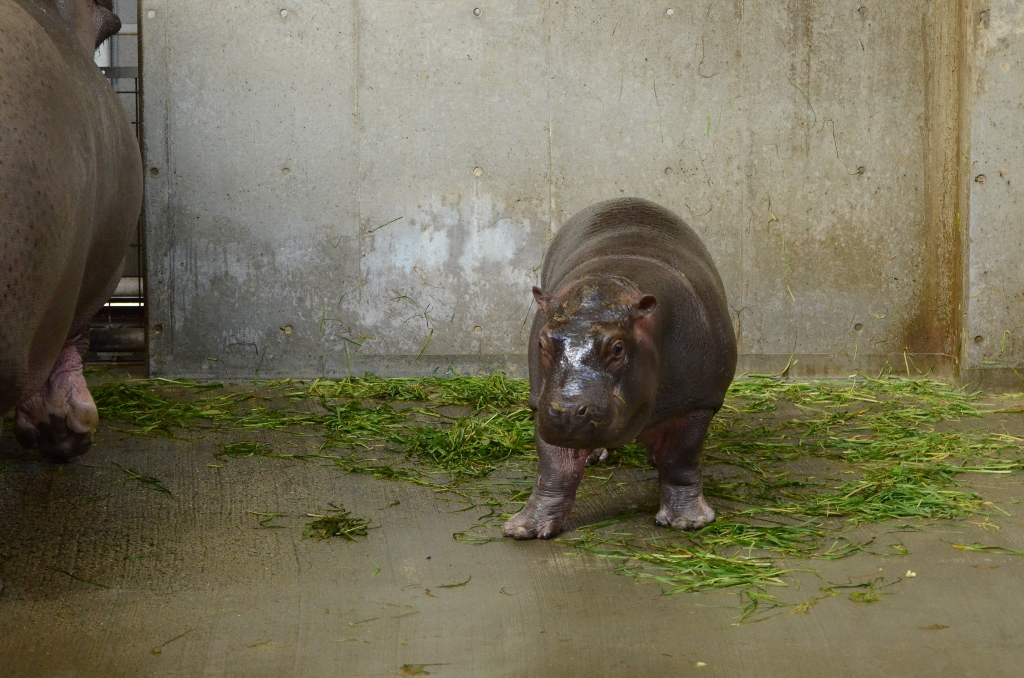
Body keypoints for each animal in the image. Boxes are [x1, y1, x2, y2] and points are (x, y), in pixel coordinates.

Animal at [503, 196, 737, 540]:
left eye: (617, 347)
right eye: (543, 343)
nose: (569, 410)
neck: (610, 286)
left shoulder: (698, 402)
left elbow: (681, 459)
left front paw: (688, 521)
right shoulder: (543, 405)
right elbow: (554, 469)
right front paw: (524, 528)